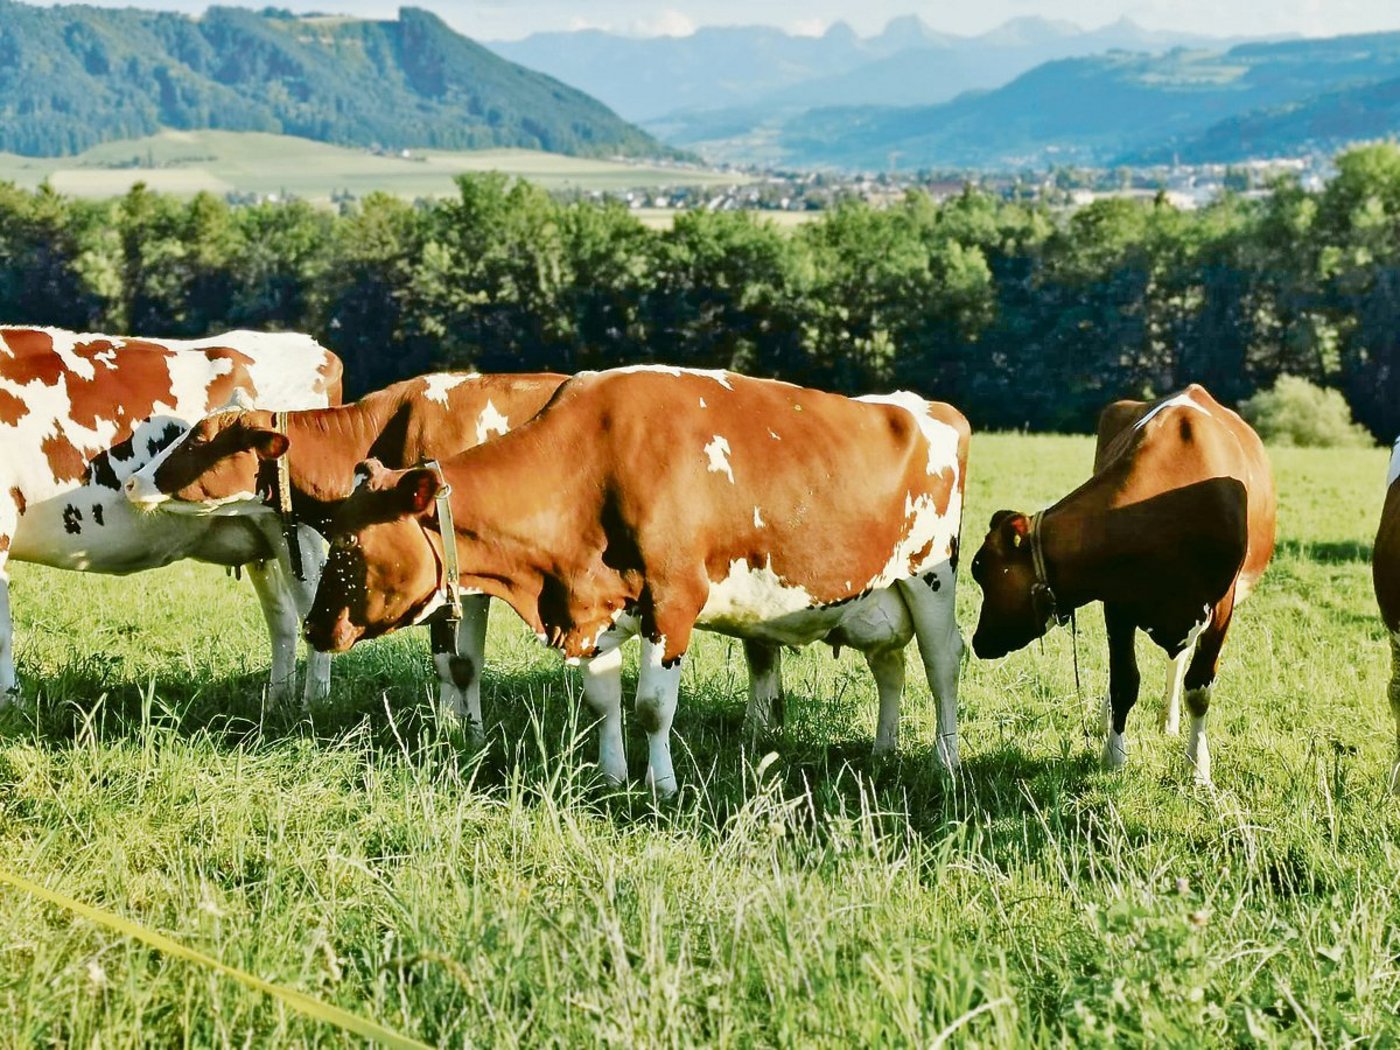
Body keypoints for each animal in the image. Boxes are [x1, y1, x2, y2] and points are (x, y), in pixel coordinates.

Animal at [0, 326, 342, 704]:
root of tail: (312, 346)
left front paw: (9, 703)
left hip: (298, 531)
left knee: (313, 610)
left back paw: (314, 703)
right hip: (263, 537)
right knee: (282, 616)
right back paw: (277, 702)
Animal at [302, 366, 969, 796]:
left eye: (351, 544)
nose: (312, 626)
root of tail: (928, 407)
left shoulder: (672, 603)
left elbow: (652, 707)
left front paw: (663, 787)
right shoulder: (595, 607)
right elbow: (603, 702)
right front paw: (613, 776)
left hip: (932, 578)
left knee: (941, 667)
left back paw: (946, 761)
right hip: (878, 594)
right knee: (890, 668)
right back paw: (884, 751)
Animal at [969, 385, 1275, 784]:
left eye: (982, 572)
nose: (978, 642)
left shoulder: (1221, 606)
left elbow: (1199, 688)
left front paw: (1197, 767)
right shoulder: (1116, 603)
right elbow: (1123, 681)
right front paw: (1113, 757)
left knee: (1180, 661)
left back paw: (1169, 721)